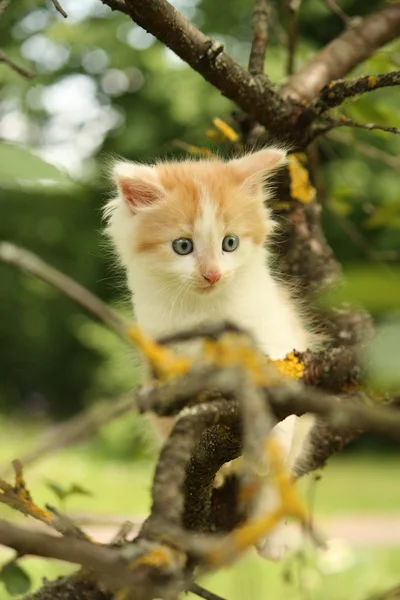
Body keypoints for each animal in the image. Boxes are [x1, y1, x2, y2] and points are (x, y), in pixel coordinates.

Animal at [104, 150, 318, 564]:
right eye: (182, 247)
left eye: (229, 243)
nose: (212, 275)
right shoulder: (167, 364)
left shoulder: (275, 340)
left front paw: (270, 445)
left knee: (275, 480)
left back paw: (272, 534)